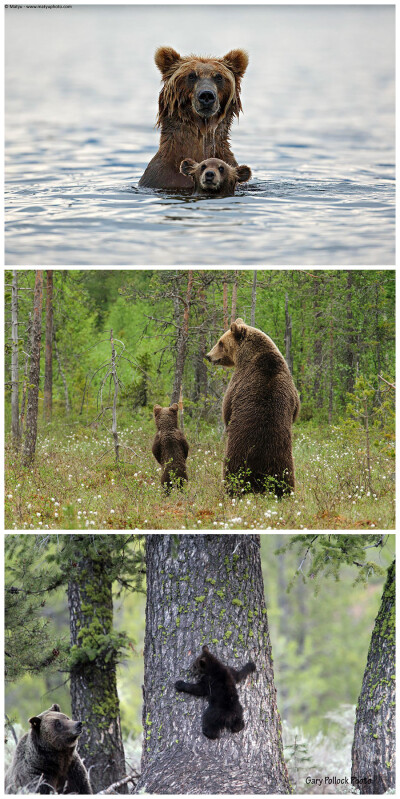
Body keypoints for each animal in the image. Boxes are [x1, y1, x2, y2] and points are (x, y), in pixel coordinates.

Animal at [208, 318, 298, 494]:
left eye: (220, 342)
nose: (208, 356)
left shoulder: (238, 381)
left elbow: (226, 408)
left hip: (237, 455)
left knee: (232, 475)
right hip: (283, 462)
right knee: (285, 482)